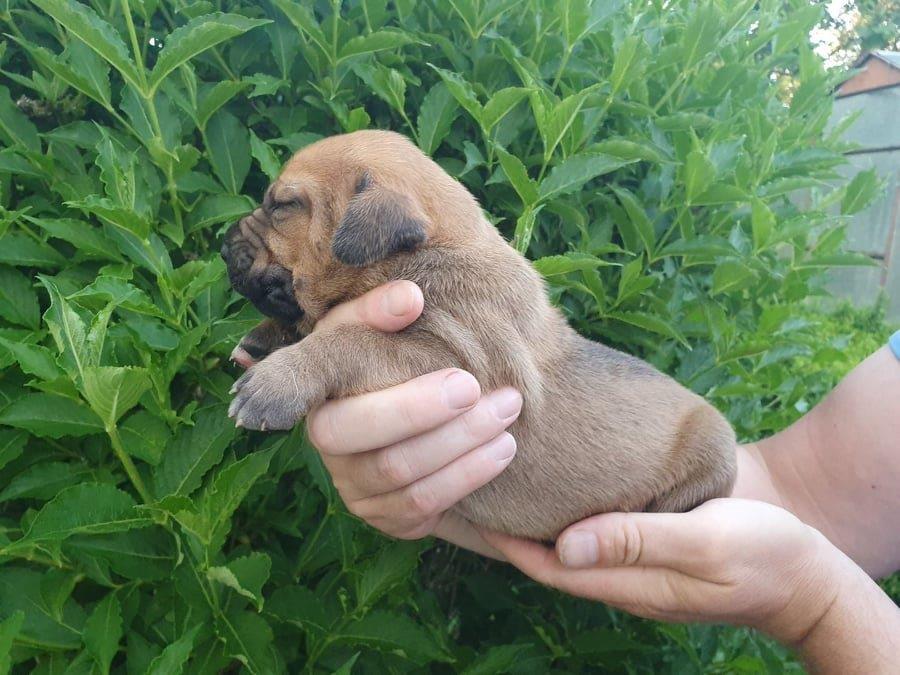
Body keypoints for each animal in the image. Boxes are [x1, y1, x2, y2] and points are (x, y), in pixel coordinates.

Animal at [221, 129, 736, 540]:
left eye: (284, 206)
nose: (222, 246)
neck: (427, 254)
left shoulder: (459, 361)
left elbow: (353, 341)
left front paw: (276, 382)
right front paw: (263, 339)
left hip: (713, 456)